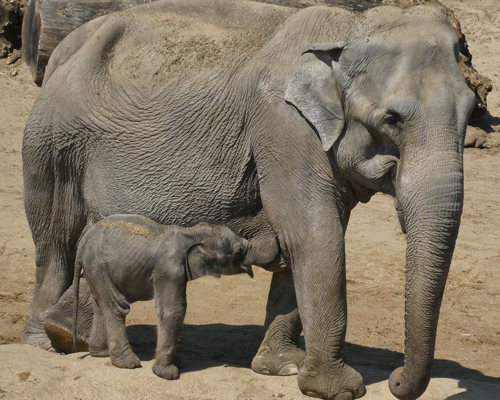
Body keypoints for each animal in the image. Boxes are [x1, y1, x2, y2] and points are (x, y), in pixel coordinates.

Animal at [73, 214, 258, 380]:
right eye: (238, 253)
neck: (190, 232)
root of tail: (82, 244)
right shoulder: (169, 268)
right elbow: (174, 310)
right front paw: (167, 373)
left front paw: (177, 363)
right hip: (98, 266)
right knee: (117, 306)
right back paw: (128, 363)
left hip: (94, 270)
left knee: (100, 306)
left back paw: (102, 353)